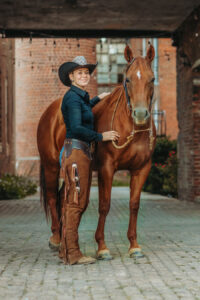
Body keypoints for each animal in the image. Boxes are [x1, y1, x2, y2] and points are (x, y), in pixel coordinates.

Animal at [37, 44, 156, 260]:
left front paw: (134, 246)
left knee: (62, 199)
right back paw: (56, 239)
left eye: (151, 79)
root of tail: (49, 112)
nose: (141, 114)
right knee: (51, 197)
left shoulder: (142, 168)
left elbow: (134, 204)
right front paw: (102, 247)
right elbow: (104, 205)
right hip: (51, 167)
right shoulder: (106, 169)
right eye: (127, 79)